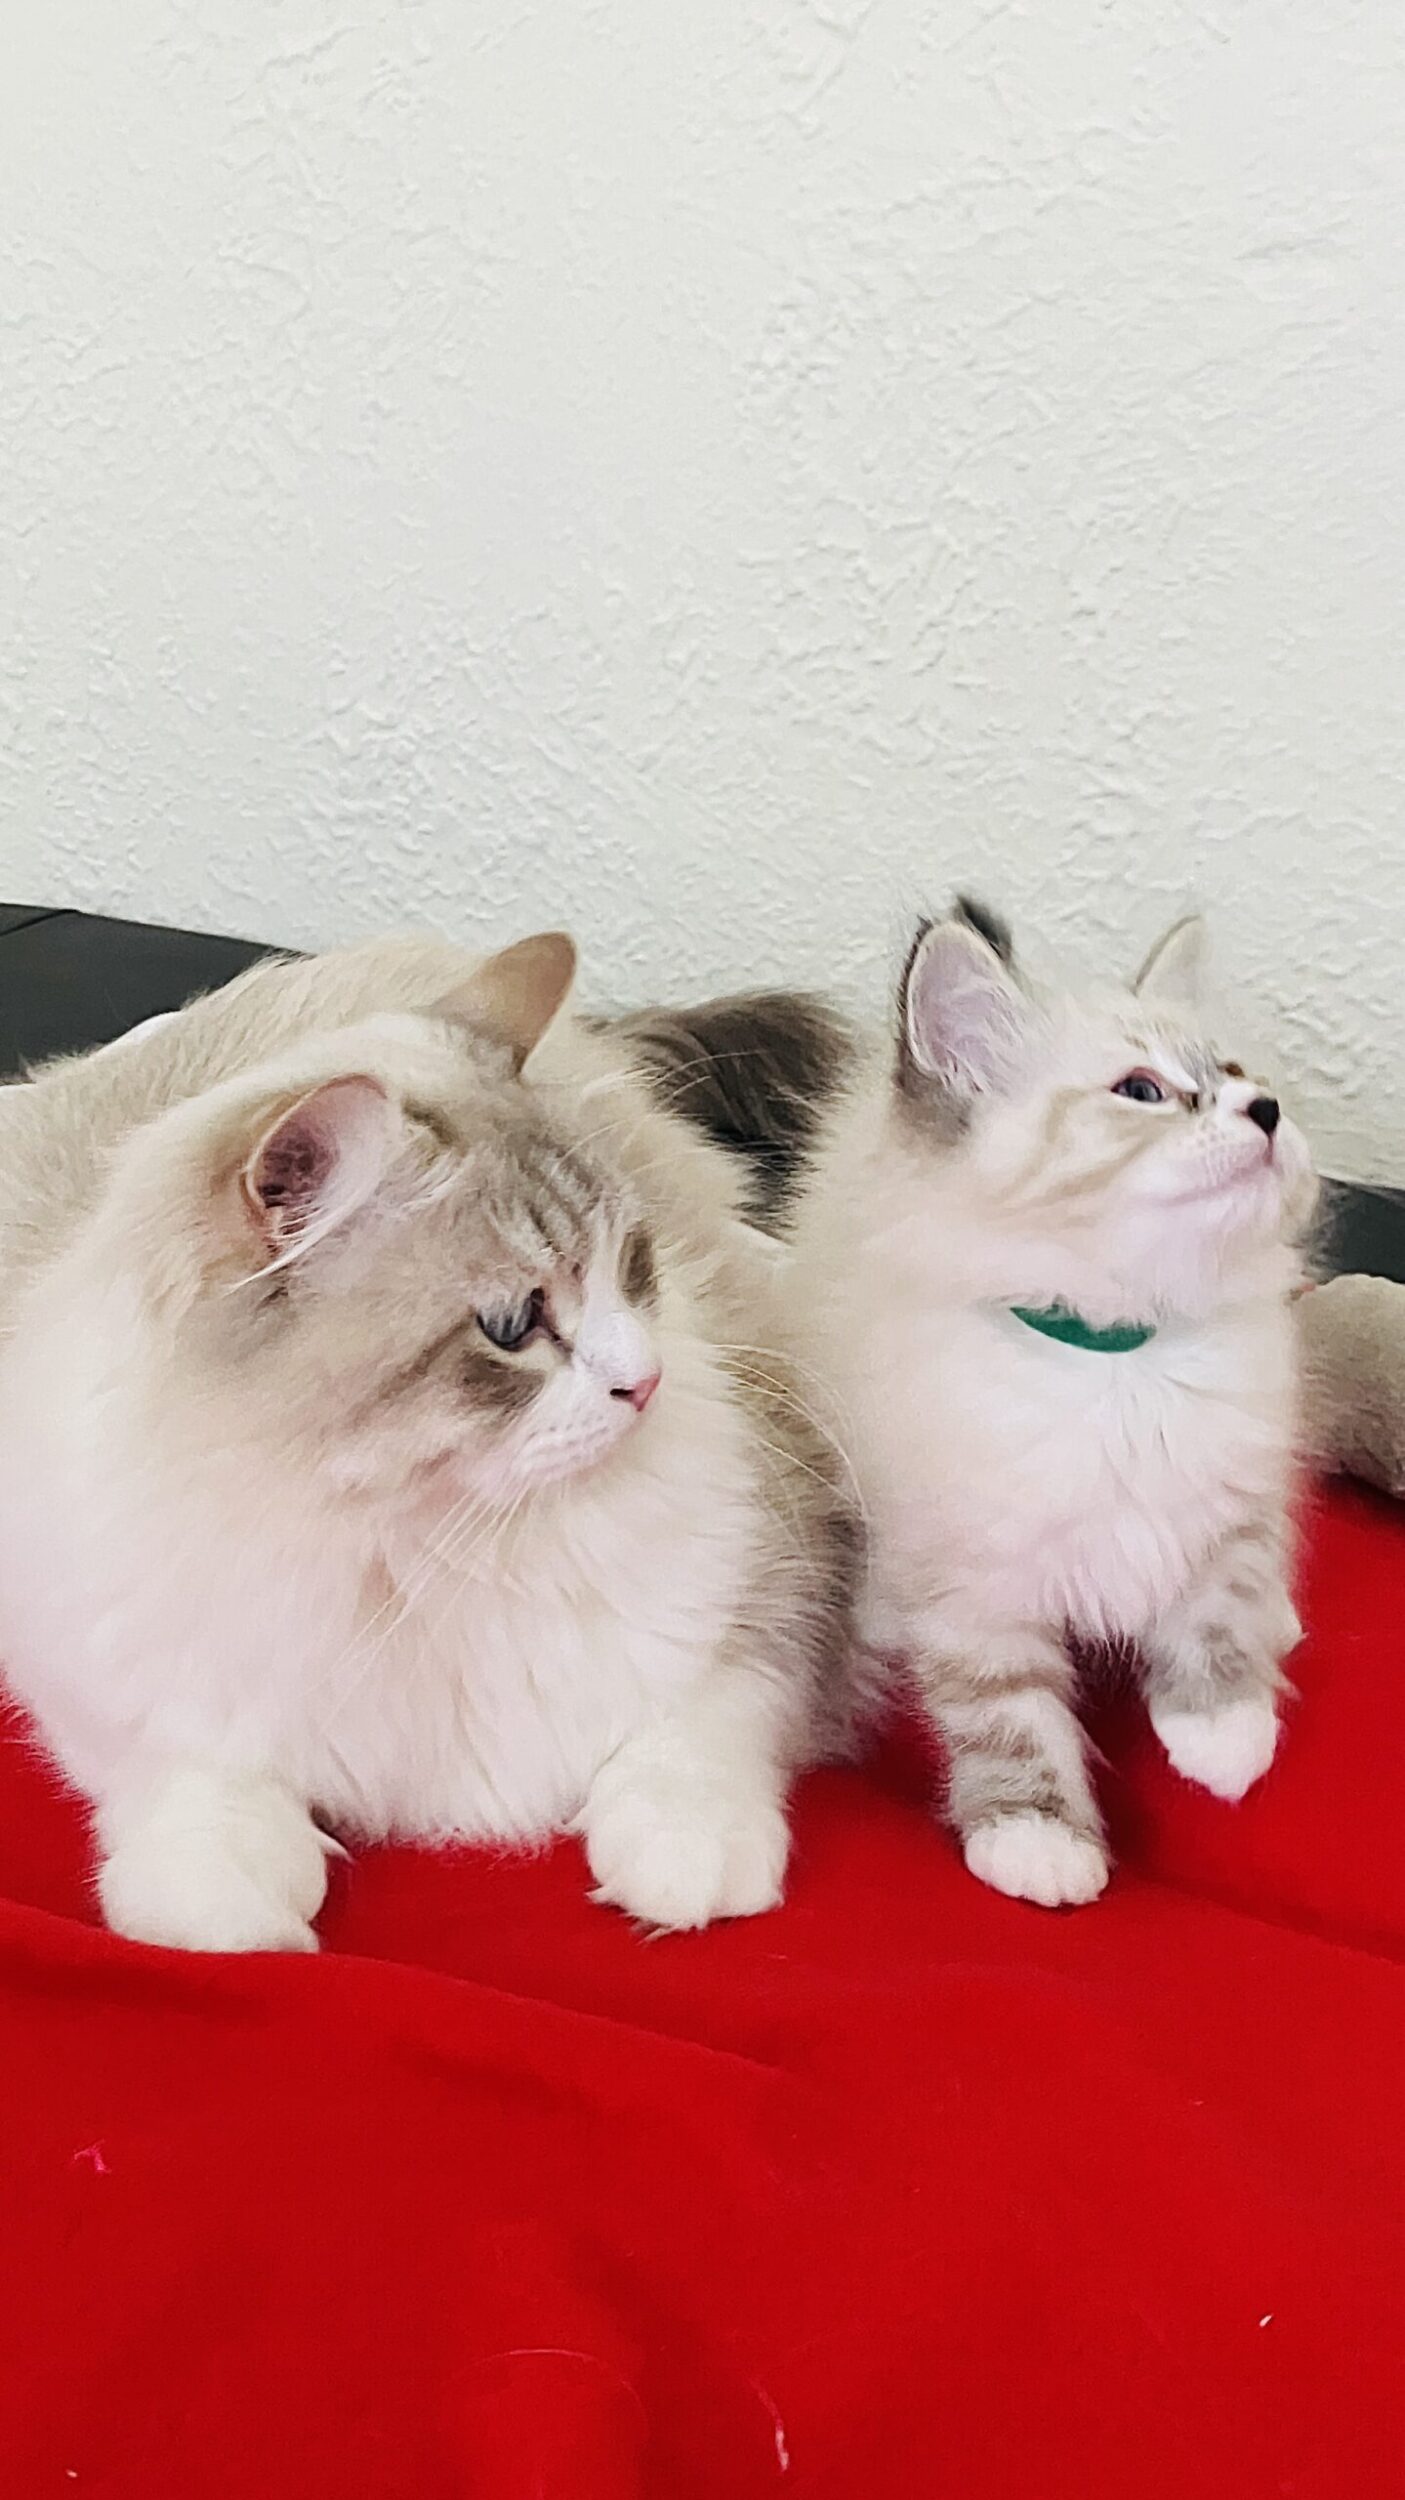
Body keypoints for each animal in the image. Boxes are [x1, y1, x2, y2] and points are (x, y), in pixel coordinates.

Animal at [0, 932, 854, 1951]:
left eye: (634, 1264)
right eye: (512, 1325)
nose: (645, 1383)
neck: (419, 1537)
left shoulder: (778, 1572)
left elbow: (701, 1730)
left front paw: (682, 1859)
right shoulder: (91, 1659)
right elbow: (192, 1803)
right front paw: (238, 1902)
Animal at [772, 898, 1317, 1908]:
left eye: (1237, 1079)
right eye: (1141, 1091)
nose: (1265, 1112)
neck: (1117, 1354)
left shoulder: (1230, 1488)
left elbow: (1221, 1600)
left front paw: (1222, 1730)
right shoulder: (972, 1572)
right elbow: (1005, 1712)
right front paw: (1036, 1839)